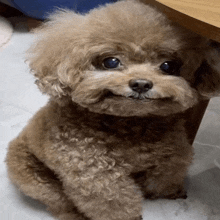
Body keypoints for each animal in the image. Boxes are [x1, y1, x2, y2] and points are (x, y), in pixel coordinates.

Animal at [5, 0, 220, 220]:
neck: (129, 123)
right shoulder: (96, 175)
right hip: (34, 178)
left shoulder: (174, 151)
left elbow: (168, 173)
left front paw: (169, 192)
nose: (141, 84)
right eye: (111, 62)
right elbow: (114, 203)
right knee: (58, 202)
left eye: (168, 66)